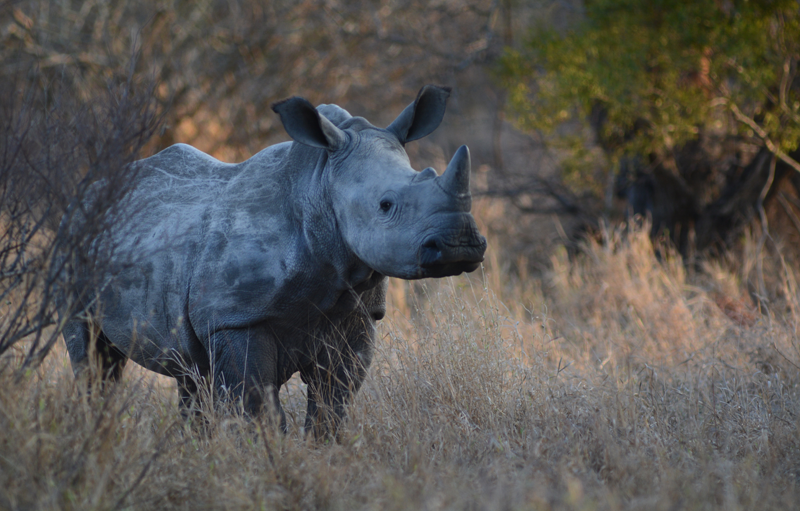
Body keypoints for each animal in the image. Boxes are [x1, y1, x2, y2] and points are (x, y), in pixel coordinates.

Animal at [61, 85, 487, 438]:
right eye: (385, 205)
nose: (459, 245)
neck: (319, 187)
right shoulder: (236, 317)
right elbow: (257, 405)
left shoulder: (356, 315)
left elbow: (332, 404)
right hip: (74, 239)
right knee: (93, 359)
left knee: (190, 372)